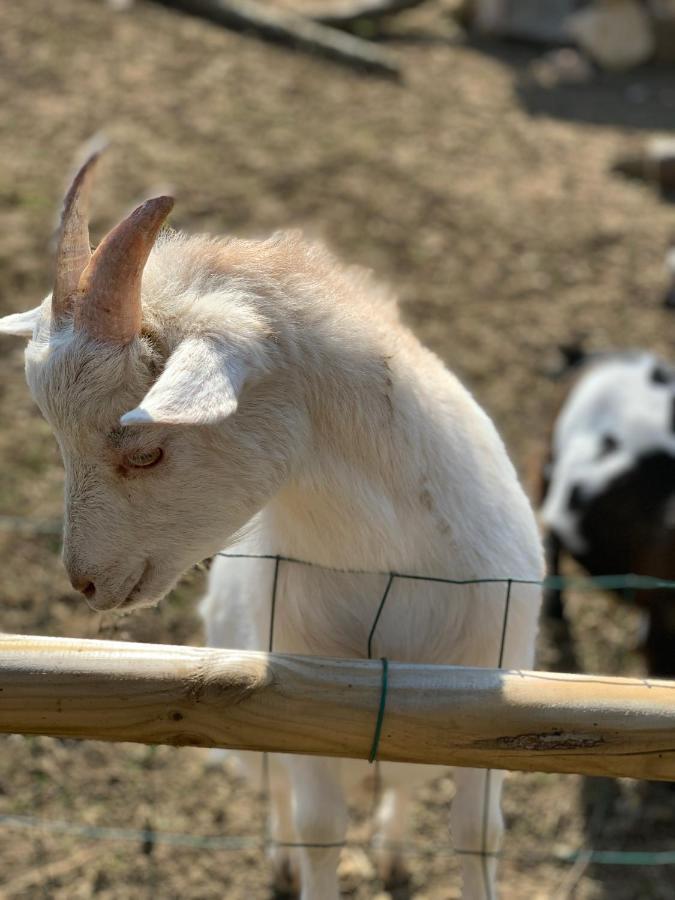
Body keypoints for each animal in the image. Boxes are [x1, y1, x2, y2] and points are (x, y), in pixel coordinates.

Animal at [2, 156, 544, 900]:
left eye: (144, 450)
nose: (83, 581)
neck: (391, 574)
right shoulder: (300, 709)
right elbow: (317, 826)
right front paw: (303, 861)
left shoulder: (491, 711)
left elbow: (478, 835)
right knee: (280, 795)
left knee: (400, 788)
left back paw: (393, 852)